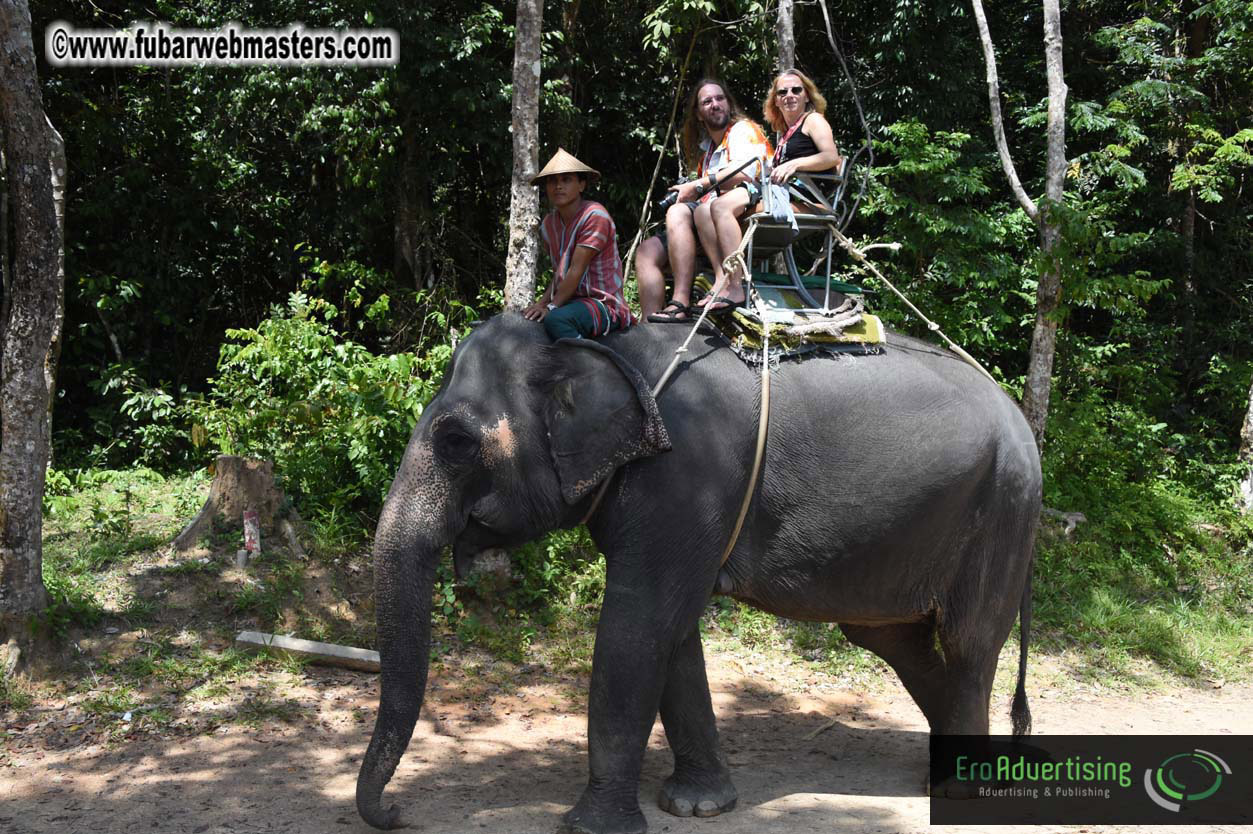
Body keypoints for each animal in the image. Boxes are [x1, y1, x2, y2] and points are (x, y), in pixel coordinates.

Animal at [356, 312, 1040, 833]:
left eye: (456, 443)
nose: (396, 814)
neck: (599, 347)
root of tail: (1025, 424)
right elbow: (674, 636)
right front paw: (698, 806)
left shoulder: (685, 476)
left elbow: (638, 624)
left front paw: (592, 826)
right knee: (895, 639)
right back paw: (941, 770)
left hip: (1003, 510)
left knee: (968, 643)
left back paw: (960, 791)